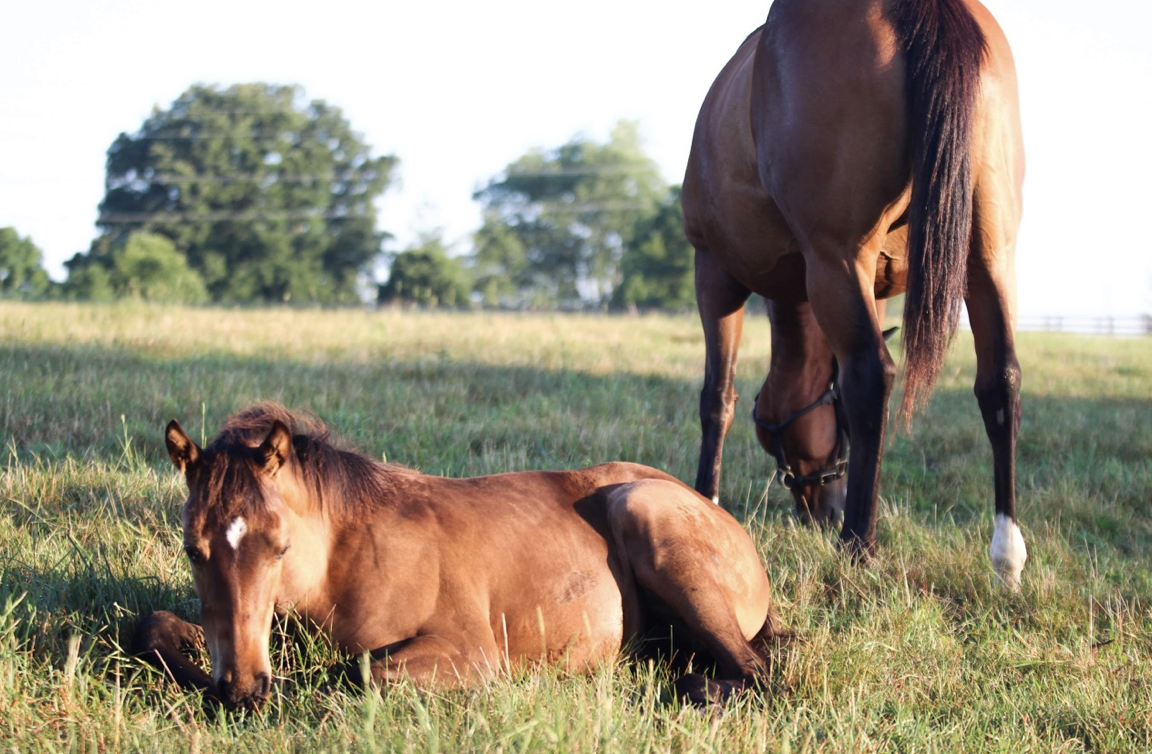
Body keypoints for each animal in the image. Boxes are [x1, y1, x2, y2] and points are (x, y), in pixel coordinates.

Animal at [132, 405, 783, 709]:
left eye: (279, 545)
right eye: (193, 550)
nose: (242, 687)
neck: (341, 560)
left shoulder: (471, 653)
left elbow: (359, 673)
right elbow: (154, 626)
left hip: (646, 513)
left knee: (757, 672)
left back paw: (691, 686)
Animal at [681, 0, 1027, 587]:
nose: (830, 506)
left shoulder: (715, 273)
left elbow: (717, 400)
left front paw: (705, 503)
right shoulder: (877, 283)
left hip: (835, 259)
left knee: (872, 374)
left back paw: (858, 546)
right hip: (987, 254)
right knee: (999, 381)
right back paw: (1005, 556)